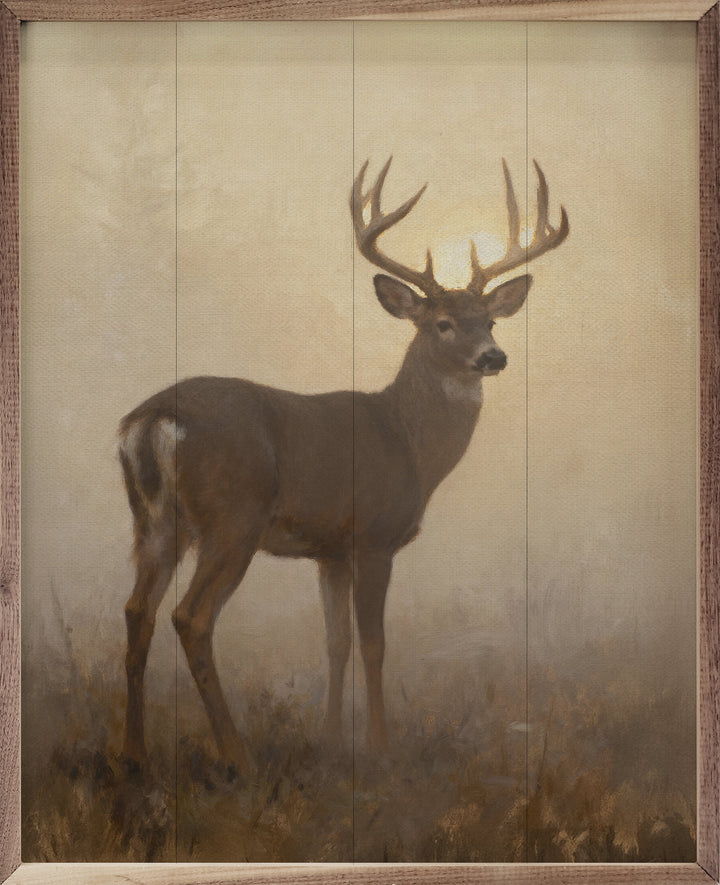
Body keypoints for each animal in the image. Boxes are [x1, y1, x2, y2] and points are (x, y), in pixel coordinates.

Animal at [119, 158, 568, 776]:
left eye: (491, 322)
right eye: (442, 323)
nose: (493, 357)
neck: (408, 442)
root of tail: (154, 418)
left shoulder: (328, 549)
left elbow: (336, 642)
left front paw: (331, 740)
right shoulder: (374, 536)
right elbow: (375, 643)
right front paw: (379, 746)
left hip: (154, 523)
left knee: (136, 612)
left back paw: (133, 756)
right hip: (232, 519)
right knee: (191, 618)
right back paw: (237, 755)